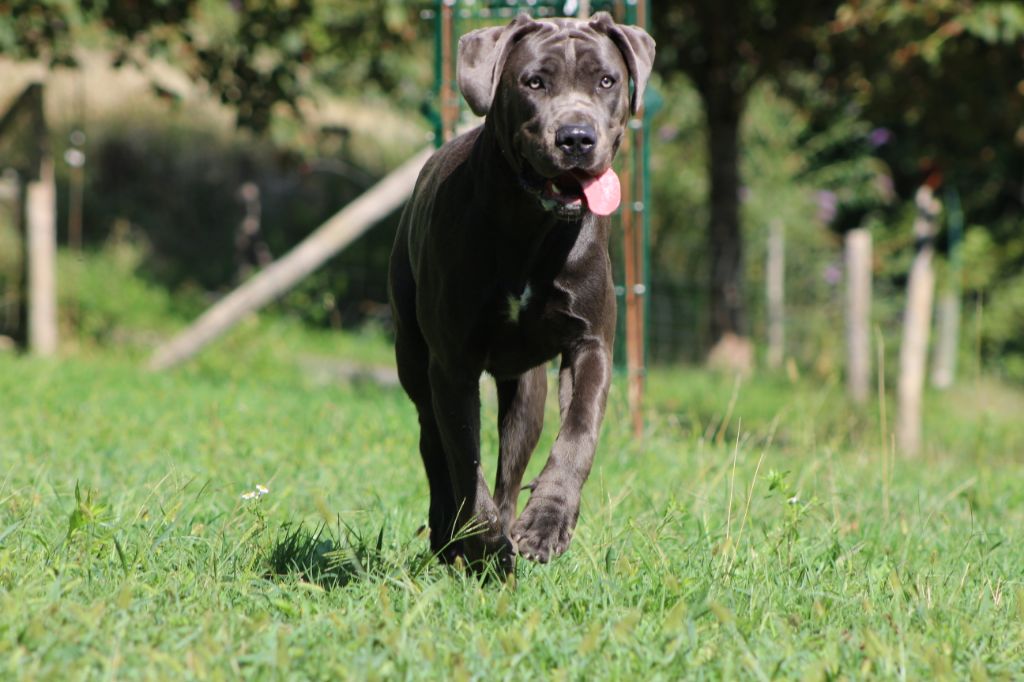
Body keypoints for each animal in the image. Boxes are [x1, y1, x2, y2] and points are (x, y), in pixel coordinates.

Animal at [388, 12, 654, 570]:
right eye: (534, 82)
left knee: (511, 464)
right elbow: (463, 456)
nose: (576, 137)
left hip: (526, 390)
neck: (532, 226)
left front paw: (546, 525)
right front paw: (483, 538)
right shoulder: (452, 364)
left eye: (607, 80)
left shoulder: (591, 345)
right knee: (433, 444)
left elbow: (578, 434)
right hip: (414, 361)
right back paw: (451, 536)